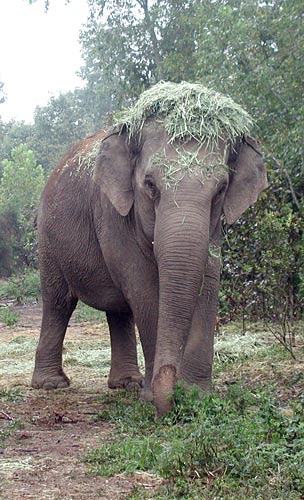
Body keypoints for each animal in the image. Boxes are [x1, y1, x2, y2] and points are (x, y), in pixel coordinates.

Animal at [32, 84, 268, 416]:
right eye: (150, 185)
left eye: (221, 189)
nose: (172, 389)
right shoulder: (112, 211)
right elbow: (143, 287)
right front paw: (155, 397)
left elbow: (209, 281)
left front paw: (197, 396)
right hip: (48, 239)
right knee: (58, 302)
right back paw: (52, 385)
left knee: (118, 311)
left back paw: (126, 384)